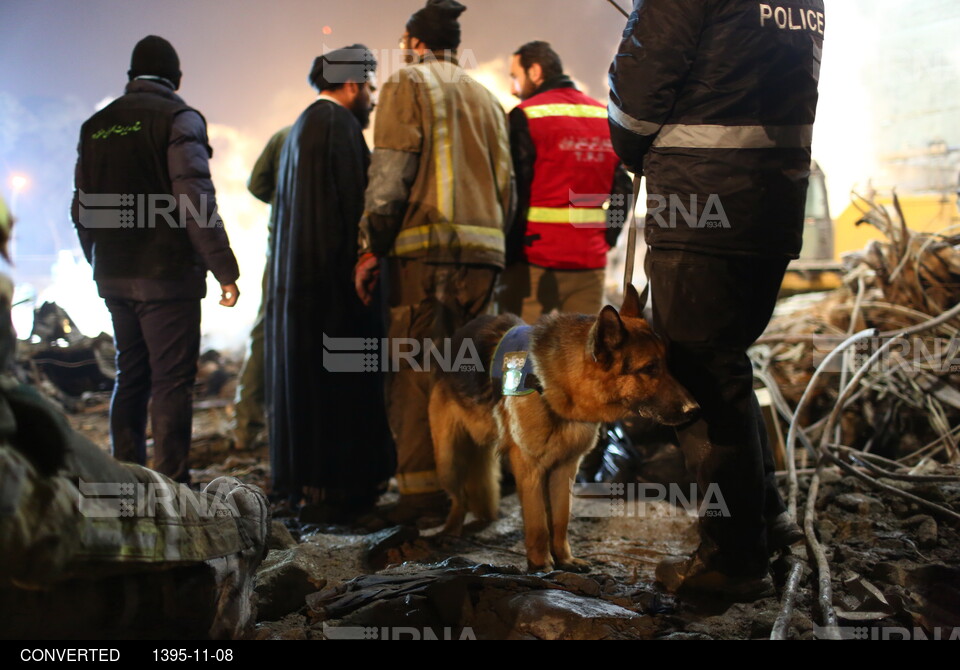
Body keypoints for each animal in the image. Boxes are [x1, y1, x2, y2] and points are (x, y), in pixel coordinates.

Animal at [434, 284, 696, 572]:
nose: (694, 409)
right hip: (448, 459)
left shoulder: (565, 469)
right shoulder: (530, 468)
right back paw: (451, 531)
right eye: (649, 368)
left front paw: (564, 559)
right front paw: (541, 566)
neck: (560, 387)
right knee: (458, 498)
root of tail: (462, 330)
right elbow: (538, 524)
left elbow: (560, 520)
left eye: (668, 365)